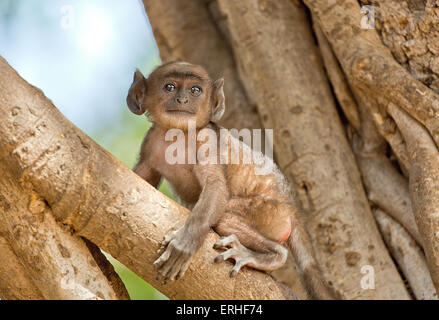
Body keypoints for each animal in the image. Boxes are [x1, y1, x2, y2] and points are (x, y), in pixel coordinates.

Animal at [126, 61, 334, 298]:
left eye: (195, 90)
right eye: (169, 87)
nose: (182, 100)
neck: (177, 135)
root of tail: (292, 207)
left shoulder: (206, 138)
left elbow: (216, 187)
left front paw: (185, 243)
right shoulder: (150, 142)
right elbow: (141, 178)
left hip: (270, 212)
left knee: (226, 218)